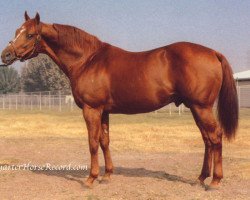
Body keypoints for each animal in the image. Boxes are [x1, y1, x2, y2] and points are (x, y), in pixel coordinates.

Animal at [0, 12, 238, 189]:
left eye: (30, 34)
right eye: (17, 32)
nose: (5, 55)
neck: (87, 60)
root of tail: (213, 53)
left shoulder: (91, 109)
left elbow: (92, 142)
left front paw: (91, 178)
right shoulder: (103, 111)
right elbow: (105, 141)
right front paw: (107, 176)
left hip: (202, 107)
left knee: (215, 136)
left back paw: (215, 181)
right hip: (196, 108)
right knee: (207, 140)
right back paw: (200, 178)